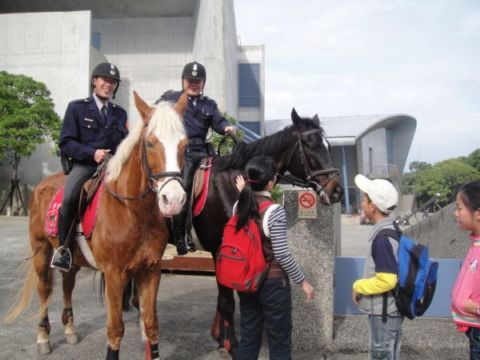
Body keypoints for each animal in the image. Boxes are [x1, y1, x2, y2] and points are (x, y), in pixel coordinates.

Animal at [6, 92, 189, 360]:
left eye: (184, 145)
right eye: (149, 143)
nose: (173, 200)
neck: (135, 213)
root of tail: (43, 184)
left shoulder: (151, 271)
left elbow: (151, 325)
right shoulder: (114, 274)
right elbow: (115, 329)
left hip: (72, 257)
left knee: (67, 284)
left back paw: (70, 329)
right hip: (41, 250)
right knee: (44, 289)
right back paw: (43, 338)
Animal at [189, 108, 344, 352]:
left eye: (328, 146)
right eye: (310, 145)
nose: (337, 191)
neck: (233, 182)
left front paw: (220, 337)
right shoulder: (220, 249)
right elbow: (226, 301)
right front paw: (231, 344)